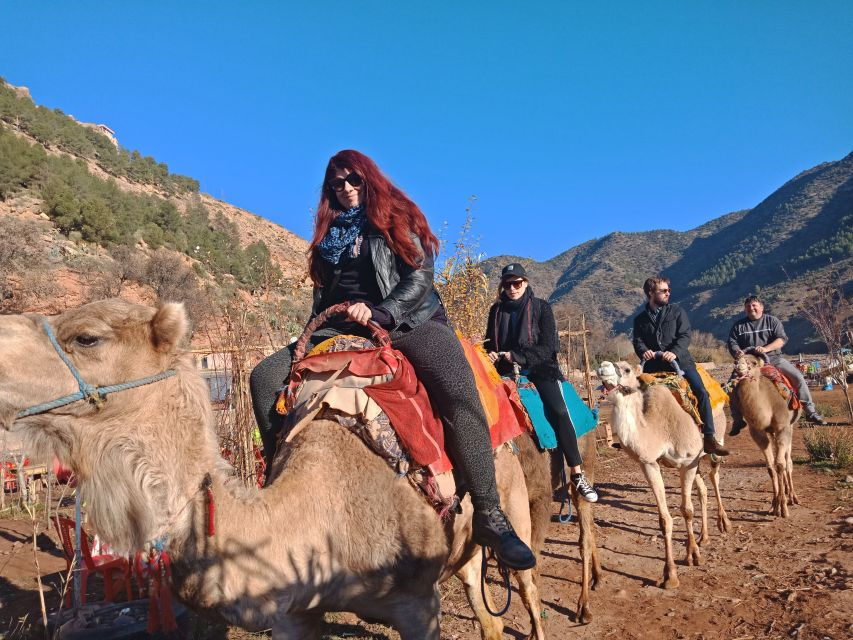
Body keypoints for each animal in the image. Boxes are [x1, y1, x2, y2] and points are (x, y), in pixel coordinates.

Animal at [0, 299, 597, 639]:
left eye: (88, 337)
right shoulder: (293, 614)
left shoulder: (417, 604)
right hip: (464, 550)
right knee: (487, 611)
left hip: (516, 500)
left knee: (529, 586)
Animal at [598, 361, 731, 589]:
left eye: (626, 369)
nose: (602, 367)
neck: (658, 429)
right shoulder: (649, 464)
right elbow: (664, 519)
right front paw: (670, 575)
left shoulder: (687, 462)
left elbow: (687, 510)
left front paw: (692, 555)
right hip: (696, 463)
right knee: (703, 490)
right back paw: (704, 537)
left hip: (713, 445)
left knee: (714, 476)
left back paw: (724, 523)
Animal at [730, 352, 801, 517]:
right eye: (735, 359)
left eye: (754, 363)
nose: (739, 367)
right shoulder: (758, 432)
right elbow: (770, 467)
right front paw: (774, 505)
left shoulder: (782, 427)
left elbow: (780, 465)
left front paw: (783, 508)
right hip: (773, 433)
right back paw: (786, 493)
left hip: (790, 427)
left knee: (788, 461)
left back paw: (792, 497)